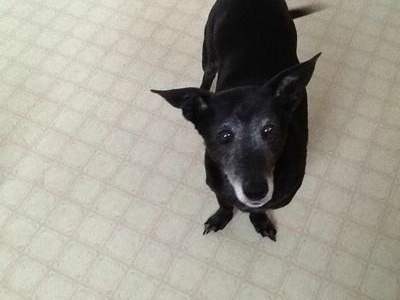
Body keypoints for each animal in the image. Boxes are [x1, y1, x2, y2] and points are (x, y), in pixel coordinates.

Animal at [152, 0, 322, 240]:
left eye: (270, 129)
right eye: (224, 135)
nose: (256, 191)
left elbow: (259, 209)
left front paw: (260, 221)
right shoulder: (216, 185)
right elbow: (224, 203)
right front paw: (220, 218)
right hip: (209, 53)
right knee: (207, 74)